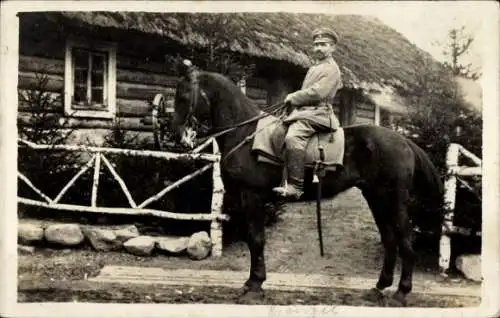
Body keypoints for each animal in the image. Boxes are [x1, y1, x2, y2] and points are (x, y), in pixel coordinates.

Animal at [173, 60, 446, 306]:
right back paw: (379, 288)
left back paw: (401, 293)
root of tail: (404, 141)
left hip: (393, 200)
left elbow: (256, 238)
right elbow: (253, 238)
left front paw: (255, 286)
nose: (179, 136)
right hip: (376, 198)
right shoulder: (244, 197)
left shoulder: (253, 196)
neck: (246, 135)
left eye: (184, 96)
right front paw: (252, 282)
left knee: (405, 240)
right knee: (390, 240)